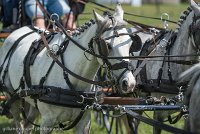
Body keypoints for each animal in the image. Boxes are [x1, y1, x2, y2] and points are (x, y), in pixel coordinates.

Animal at [0, 4, 138, 134]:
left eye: (131, 43)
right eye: (107, 46)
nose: (129, 83)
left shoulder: (84, 122)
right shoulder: (47, 122)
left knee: (28, 125)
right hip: (12, 97)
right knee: (19, 124)